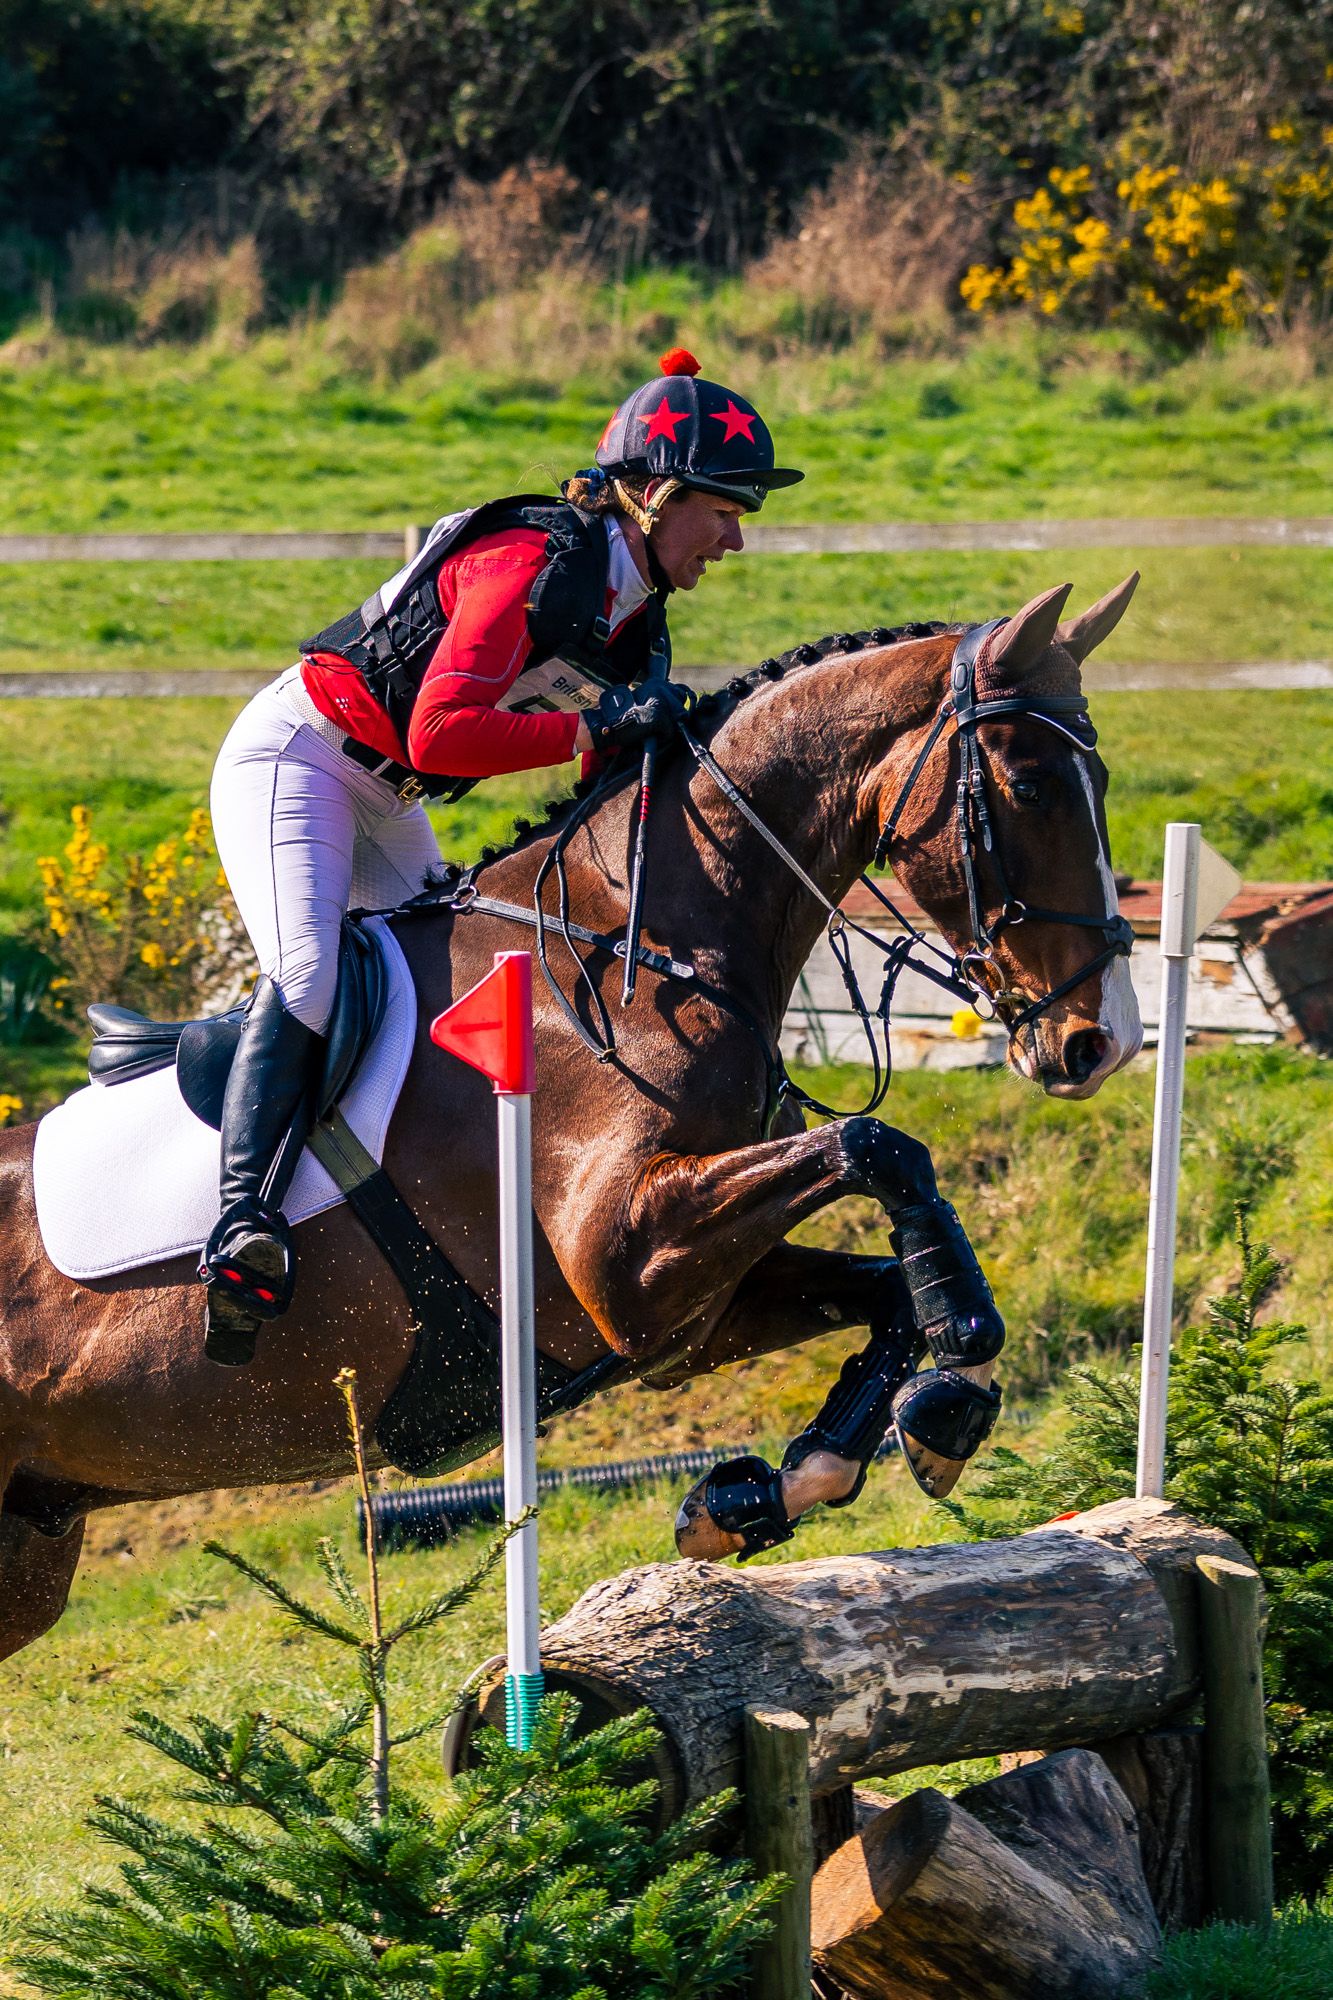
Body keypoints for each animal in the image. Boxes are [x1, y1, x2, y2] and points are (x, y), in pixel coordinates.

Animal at [0, 577, 1142, 1660]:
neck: (633, 945)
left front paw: (783, 1481)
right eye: (1031, 784)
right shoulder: (624, 1258)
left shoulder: (676, 1316)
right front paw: (956, 1377)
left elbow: (880, 1286)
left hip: (35, 1544)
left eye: (1102, 783)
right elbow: (880, 1147)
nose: (1103, 1041)